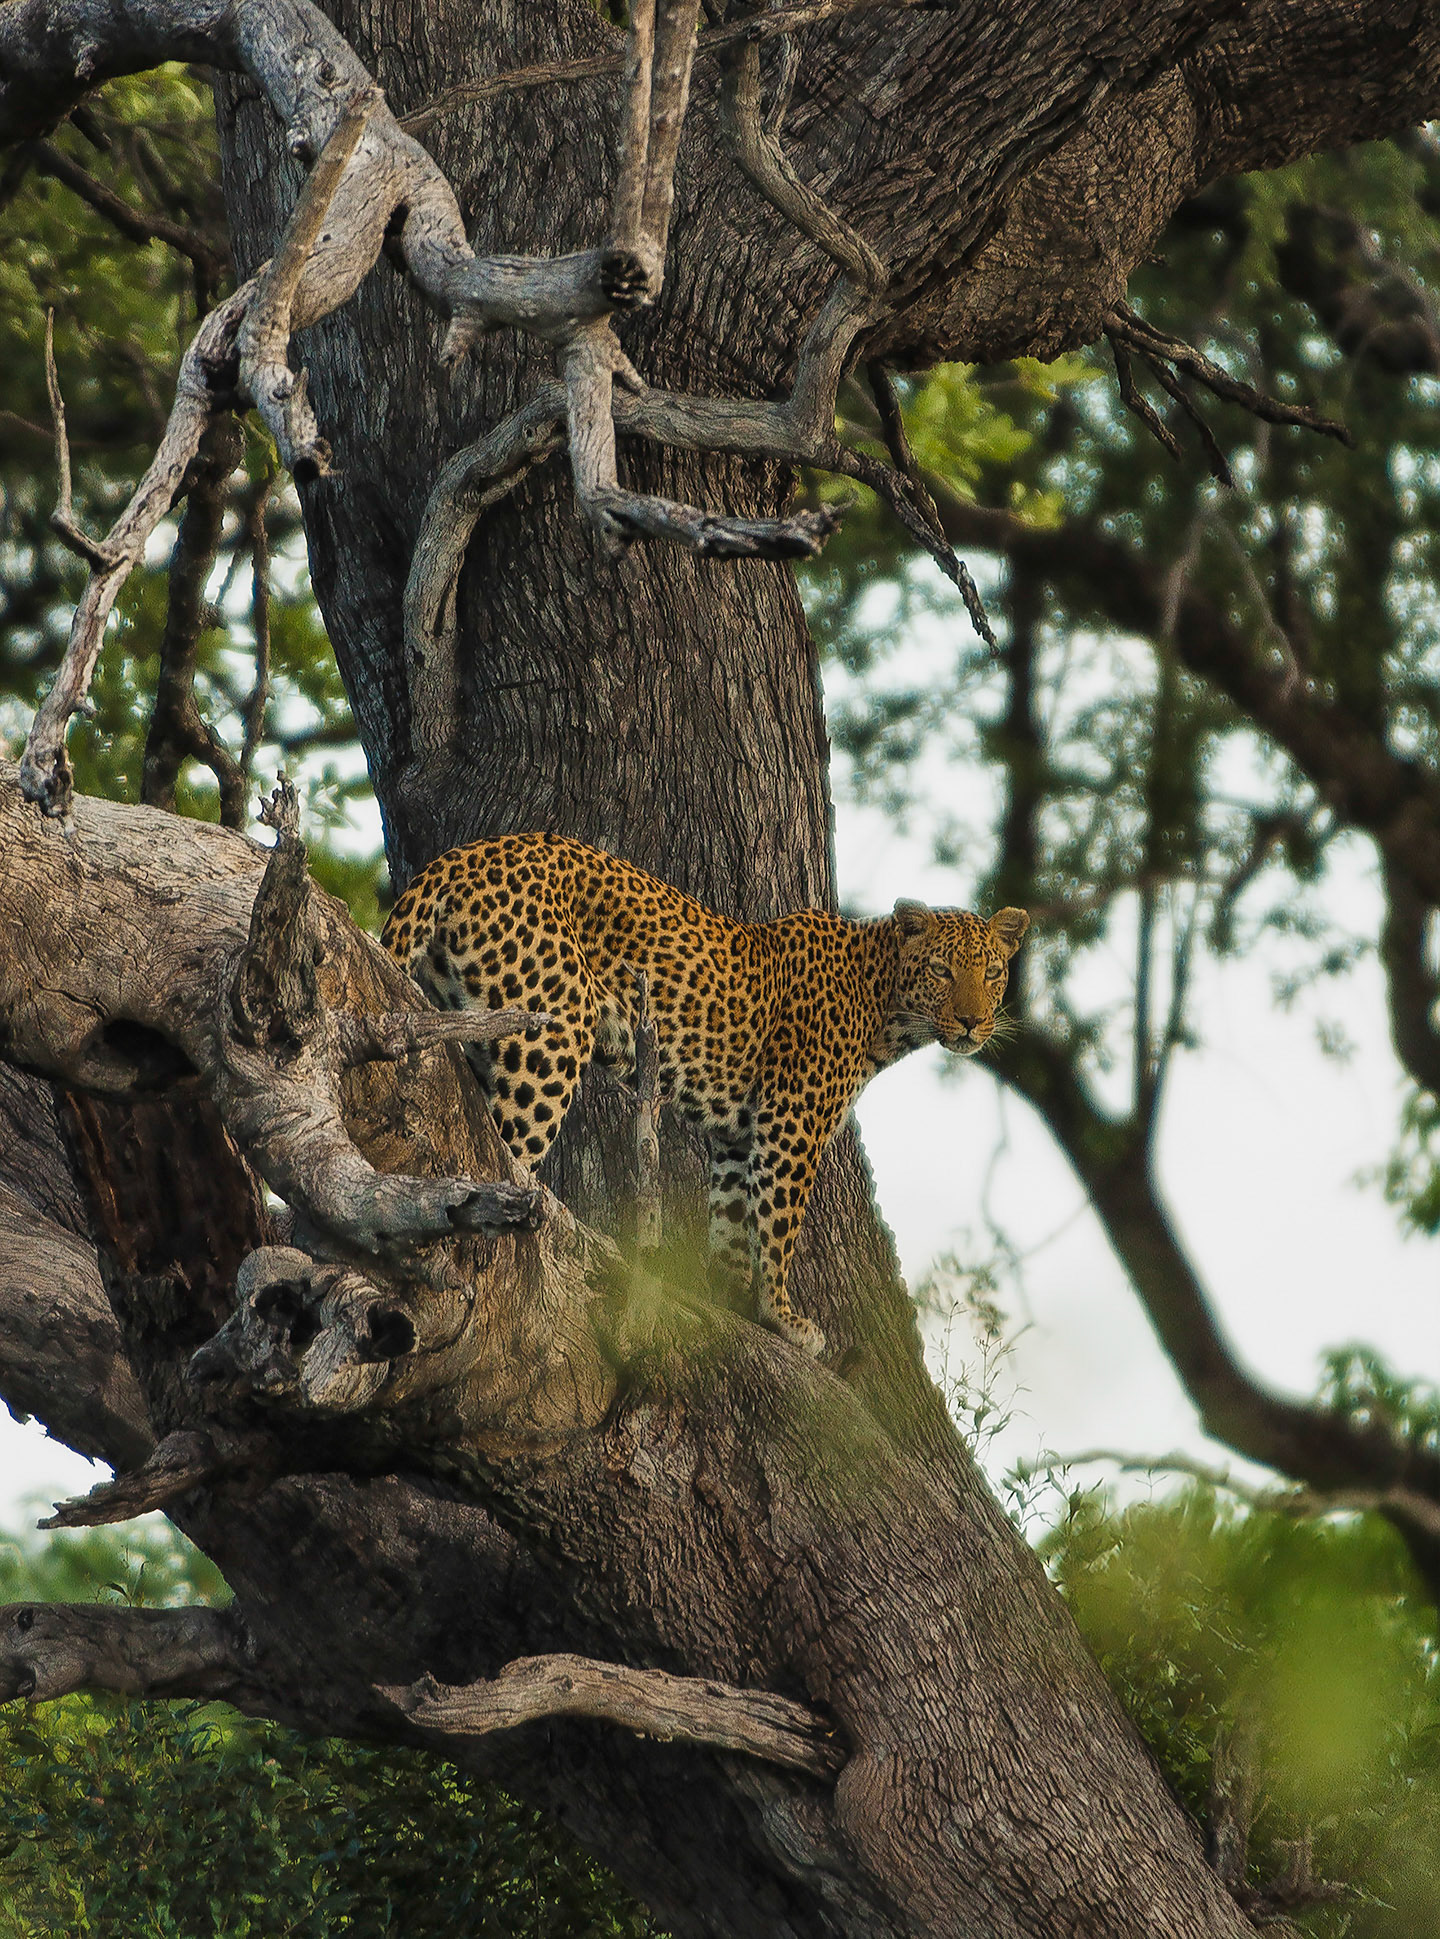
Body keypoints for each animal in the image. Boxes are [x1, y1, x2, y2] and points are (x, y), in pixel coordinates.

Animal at [382, 833, 1028, 1357]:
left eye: (993, 973)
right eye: (943, 971)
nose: (973, 1022)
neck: (885, 1004)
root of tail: (467, 853)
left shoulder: (741, 1133)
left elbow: (735, 1217)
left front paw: (730, 1297)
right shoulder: (793, 1120)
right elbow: (780, 1224)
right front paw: (784, 1318)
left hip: (464, 1023)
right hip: (549, 1040)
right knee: (501, 1154)